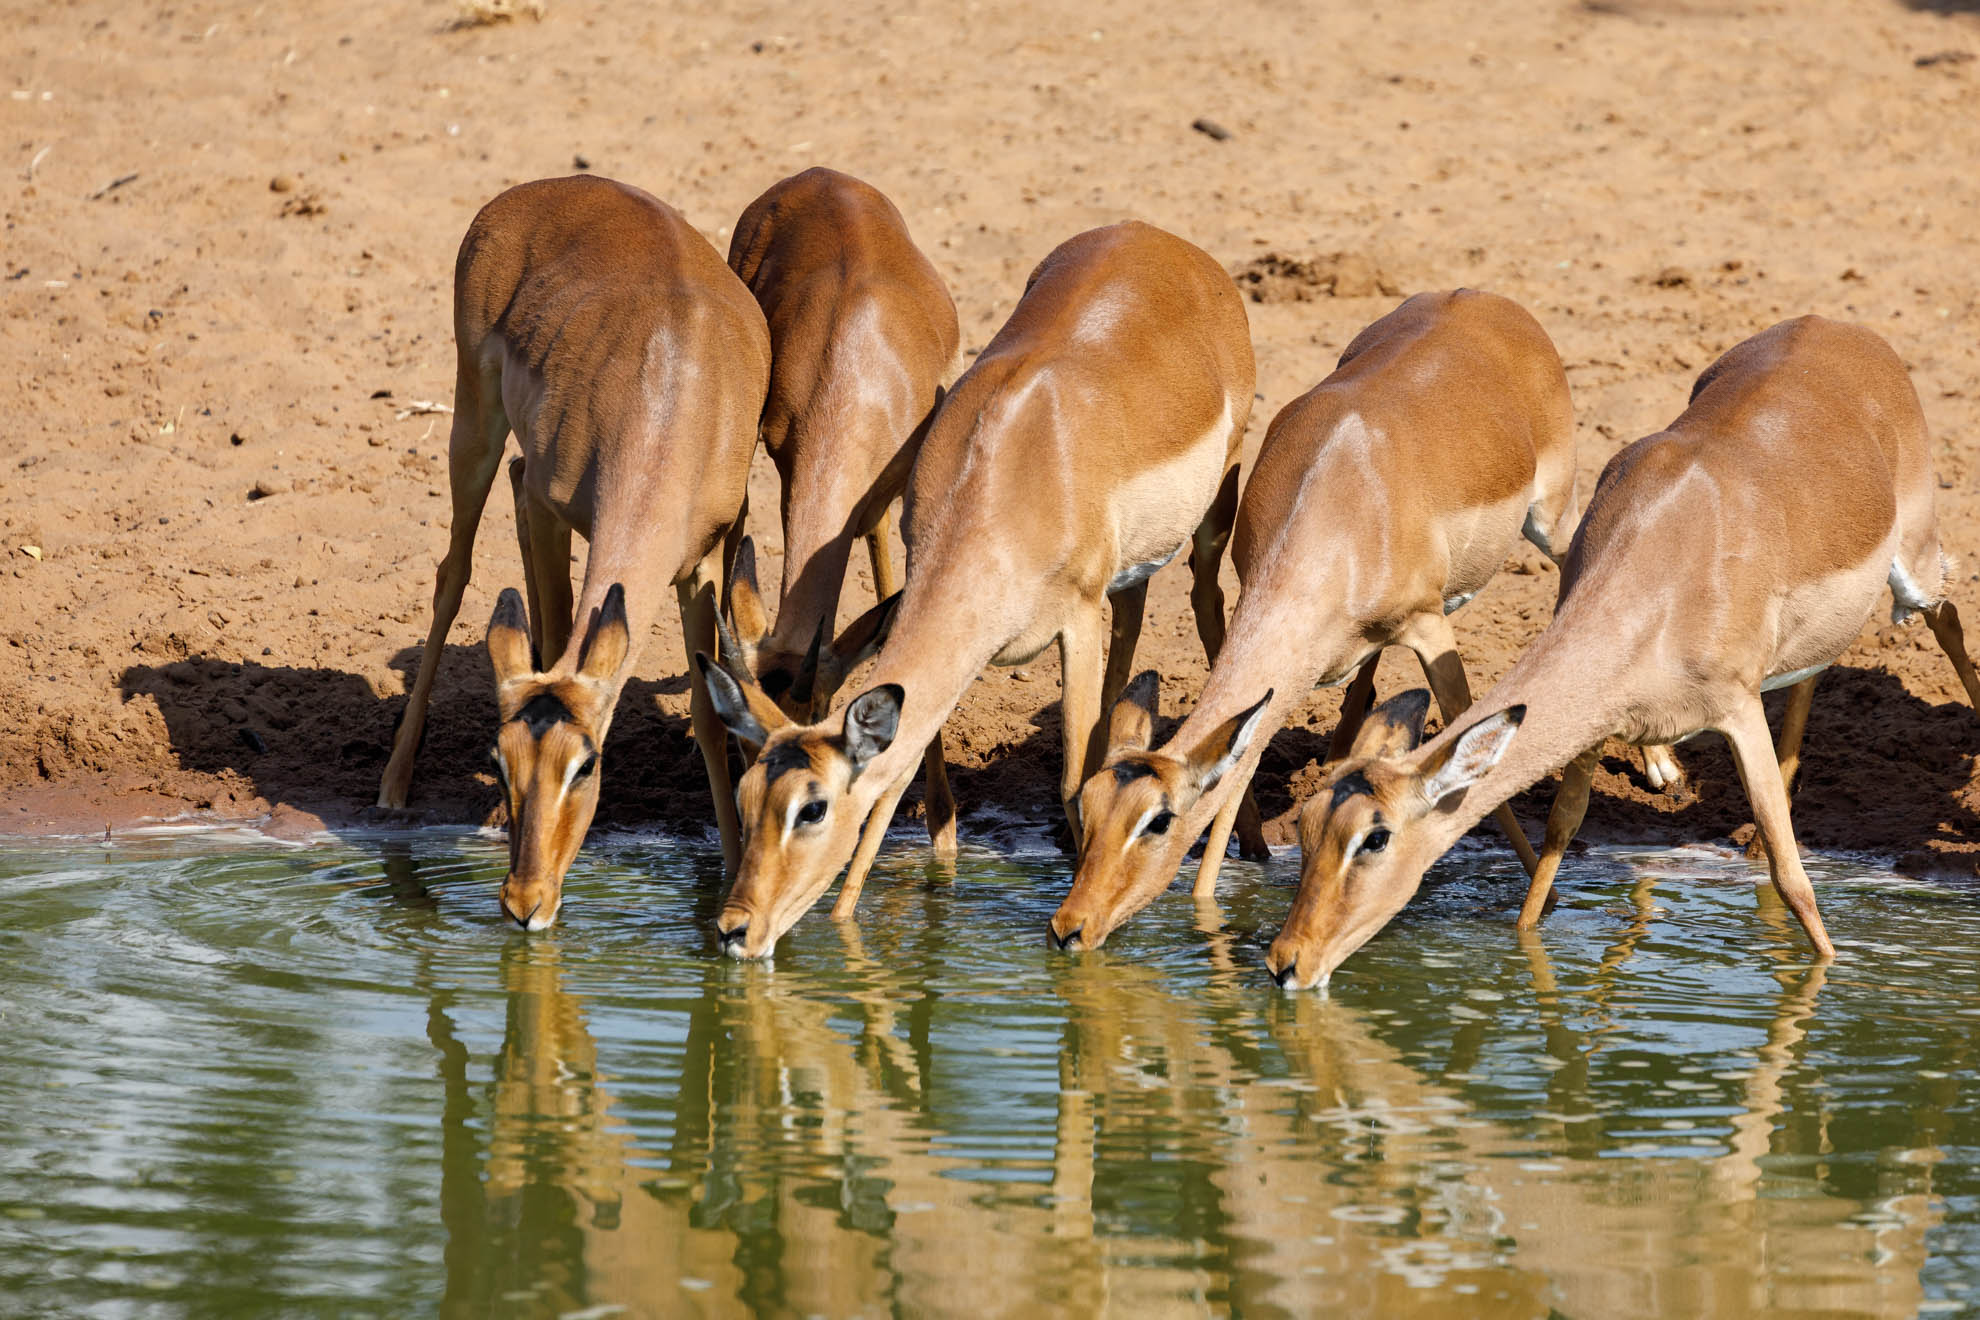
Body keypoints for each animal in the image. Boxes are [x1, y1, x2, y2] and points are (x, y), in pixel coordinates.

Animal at [375, 174, 770, 929]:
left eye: (586, 764)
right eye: (500, 758)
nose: (524, 901)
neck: (671, 402)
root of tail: (546, 188)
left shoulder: (701, 564)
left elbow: (710, 711)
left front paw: (730, 873)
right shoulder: (553, 509)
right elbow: (556, 635)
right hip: (474, 418)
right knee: (454, 572)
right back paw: (393, 785)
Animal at [1047, 290, 1578, 950]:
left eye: (1159, 820)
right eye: (1087, 806)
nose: (1070, 925)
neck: (1340, 504)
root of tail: (1486, 301)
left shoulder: (1430, 627)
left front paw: (1546, 903)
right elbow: (1239, 774)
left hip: (1551, 522)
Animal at [1266, 316, 1980, 990]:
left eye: (1375, 837)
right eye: (1306, 826)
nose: (1285, 961)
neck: (1661, 570)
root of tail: (1840, 329)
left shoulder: (1738, 710)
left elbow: (1792, 876)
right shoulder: (1598, 720)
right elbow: (1560, 831)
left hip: (1916, 567)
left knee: (1947, 617)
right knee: (1813, 671)